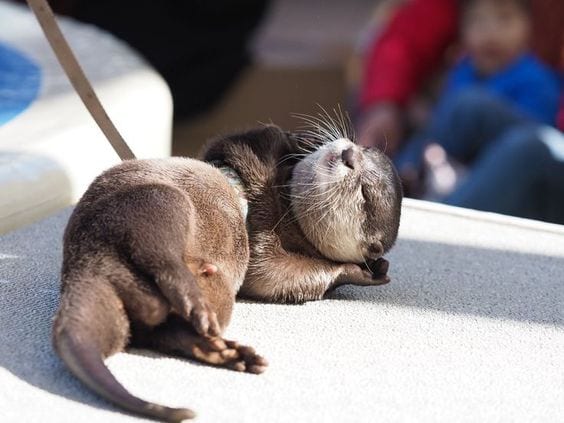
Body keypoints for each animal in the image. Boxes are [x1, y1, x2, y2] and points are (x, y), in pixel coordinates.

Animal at [53, 117, 404, 422]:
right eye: (364, 148)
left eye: (365, 193)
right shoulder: (231, 148)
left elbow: (276, 277)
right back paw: (197, 305)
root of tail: (87, 262)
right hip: (153, 201)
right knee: (159, 252)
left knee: (164, 324)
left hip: (199, 275)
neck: (285, 210)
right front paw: (299, 140)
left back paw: (226, 349)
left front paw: (360, 272)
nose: (348, 153)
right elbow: (249, 139)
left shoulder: (276, 265)